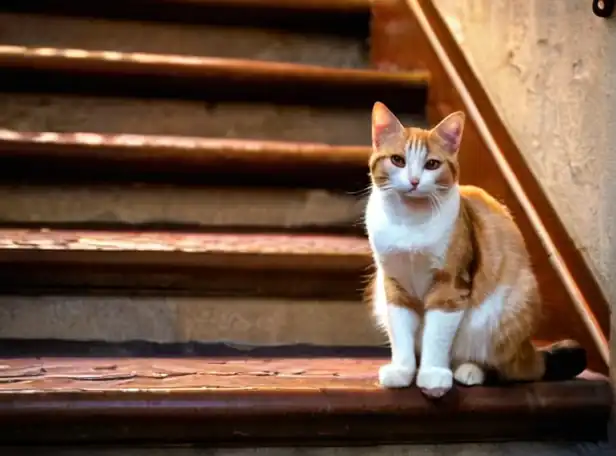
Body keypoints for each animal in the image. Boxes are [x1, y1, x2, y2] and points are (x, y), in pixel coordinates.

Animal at [364, 101, 584, 398]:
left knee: (503, 368)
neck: (409, 222)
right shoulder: (393, 284)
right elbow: (401, 333)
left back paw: (469, 370)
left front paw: (433, 375)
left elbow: (436, 336)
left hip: (507, 311)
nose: (414, 181)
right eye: (398, 160)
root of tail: (527, 349)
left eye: (432, 164)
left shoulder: (450, 286)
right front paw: (403, 371)